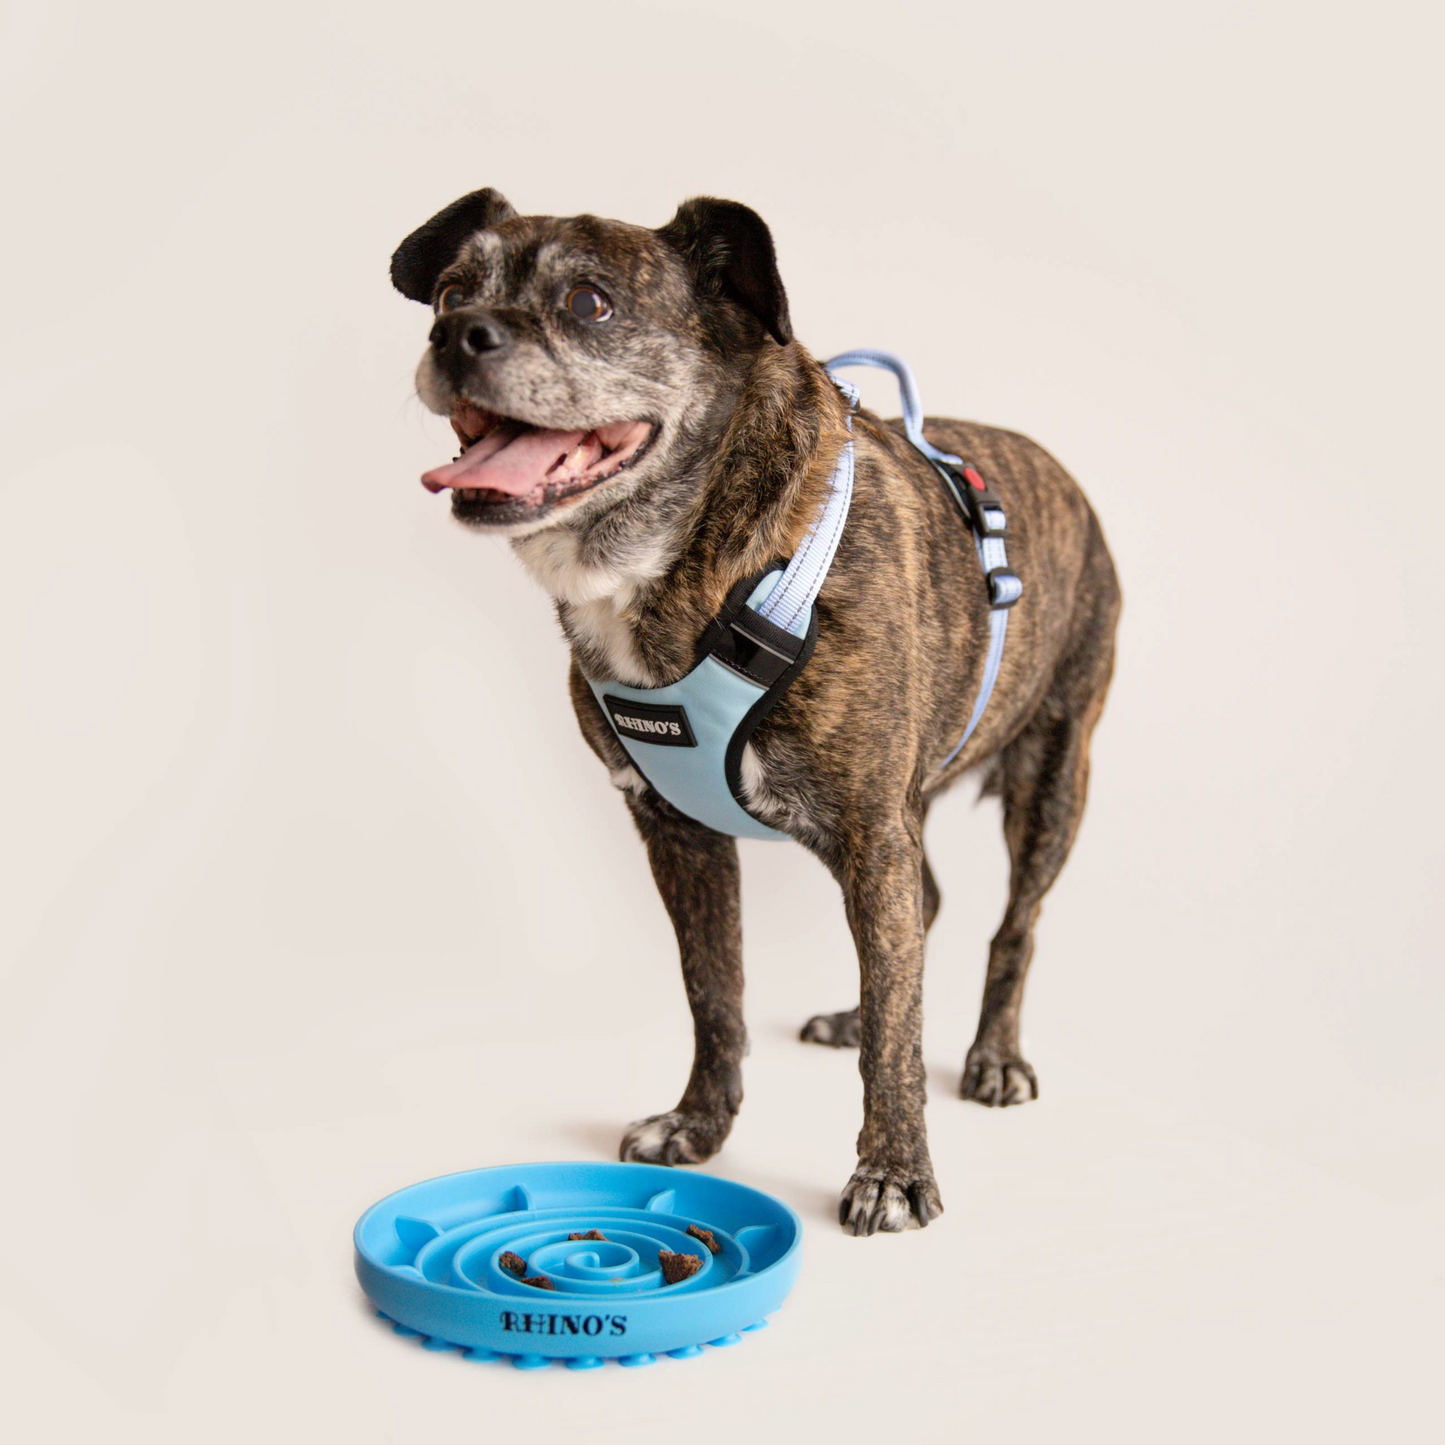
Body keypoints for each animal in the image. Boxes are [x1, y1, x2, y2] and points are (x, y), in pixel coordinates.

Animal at [390, 189, 1121, 1231]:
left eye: (588, 302)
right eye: (451, 291)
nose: (456, 333)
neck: (686, 561)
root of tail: (1051, 465)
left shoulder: (869, 828)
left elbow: (897, 1029)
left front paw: (893, 1171)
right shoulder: (682, 834)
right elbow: (716, 990)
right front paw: (699, 1127)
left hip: (1052, 775)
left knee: (1009, 926)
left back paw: (992, 1056)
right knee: (921, 913)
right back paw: (855, 1012)